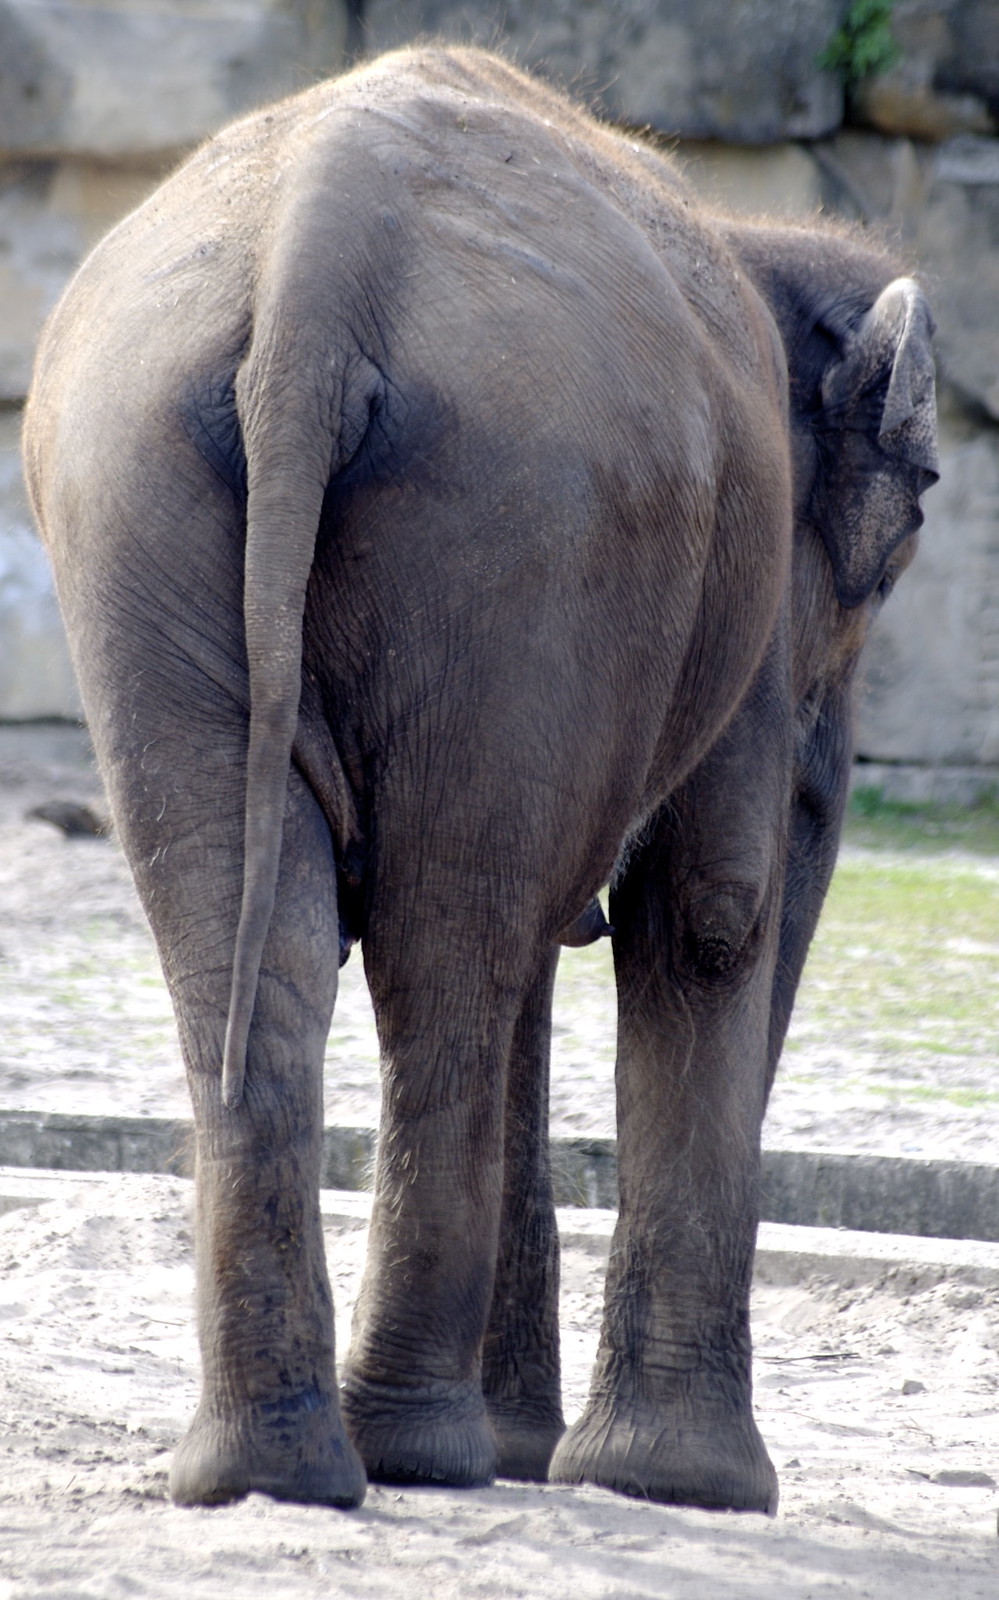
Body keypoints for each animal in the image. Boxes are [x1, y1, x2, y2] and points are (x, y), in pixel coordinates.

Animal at [23, 45, 938, 1515]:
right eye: (896, 547)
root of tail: (317, 260)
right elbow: (705, 916)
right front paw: (683, 1489)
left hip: (142, 493)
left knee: (268, 936)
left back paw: (280, 1470)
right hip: (523, 515)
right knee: (447, 947)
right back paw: (415, 1457)